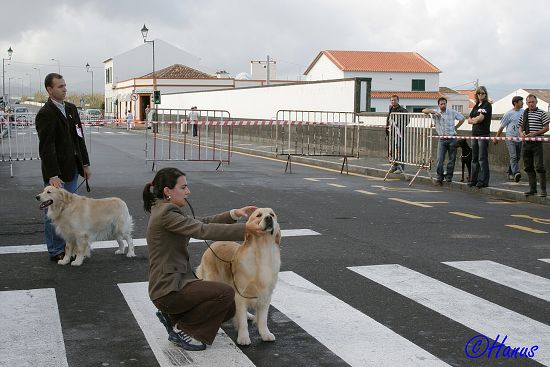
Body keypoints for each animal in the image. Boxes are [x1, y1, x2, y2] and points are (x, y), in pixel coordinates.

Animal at [197, 208, 282, 346]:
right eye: (259, 215)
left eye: (272, 215)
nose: (268, 218)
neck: (263, 251)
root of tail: (213, 244)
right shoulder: (241, 294)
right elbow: (242, 321)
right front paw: (243, 337)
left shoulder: (266, 295)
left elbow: (263, 319)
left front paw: (265, 334)